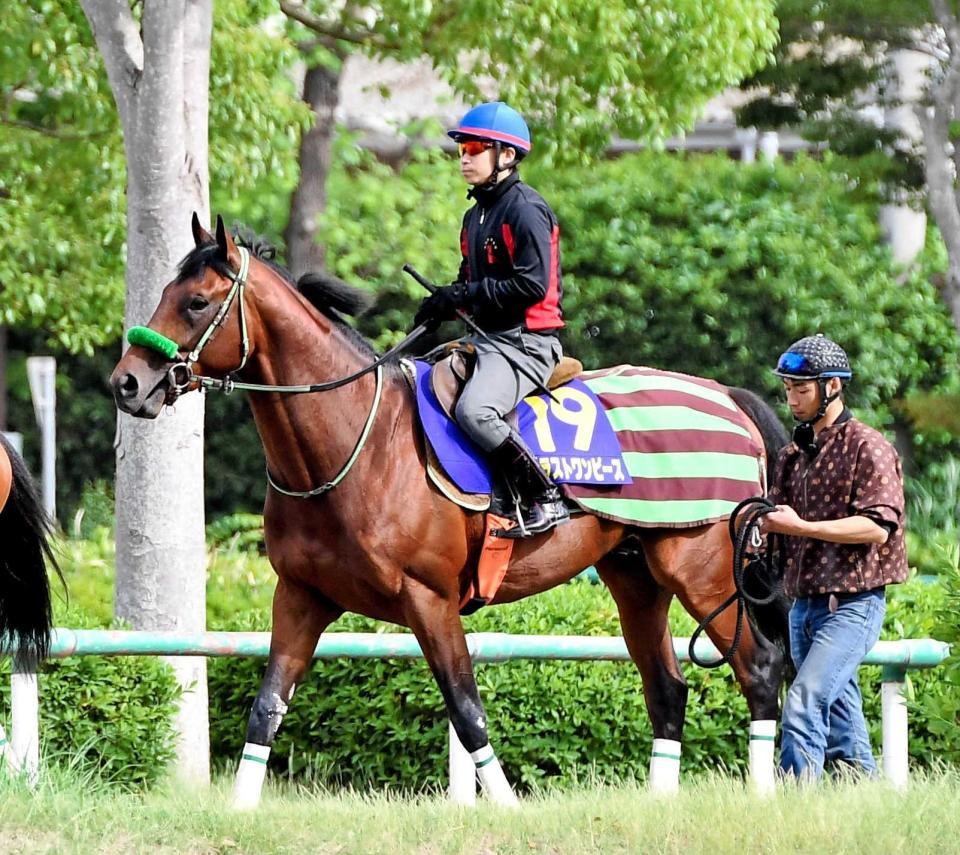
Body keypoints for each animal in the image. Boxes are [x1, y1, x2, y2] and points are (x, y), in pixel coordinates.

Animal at [110, 217, 788, 804]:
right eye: (165, 291)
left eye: (197, 303)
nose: (127, 383)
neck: (354, 445)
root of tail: (725, 394)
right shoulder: (300, 595)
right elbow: (267, 709)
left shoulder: (429, 599)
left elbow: (467, 710)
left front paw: (507, 808)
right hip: (636, 576)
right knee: (668, 690)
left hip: (700, 571)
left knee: (758, 667)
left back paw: (762, 793)